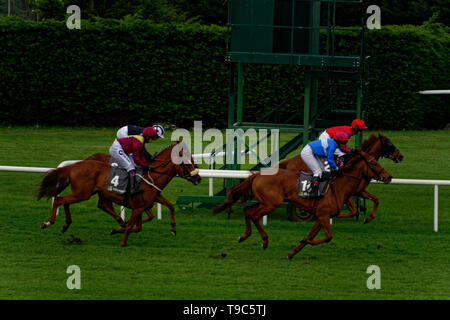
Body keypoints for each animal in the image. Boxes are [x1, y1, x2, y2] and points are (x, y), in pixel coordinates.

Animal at [37, 141, 201, 248]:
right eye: (187, 163)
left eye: (193, 161)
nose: (198, 178)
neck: (151, 176)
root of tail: (74, 165)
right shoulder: (139, 207)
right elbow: (133, 226)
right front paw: (123, 242)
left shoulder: (150, 201)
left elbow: (168, 208)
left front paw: (173, 228)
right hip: (83, 193)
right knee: (60, 200)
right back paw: (48, 222)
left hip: (85, 192)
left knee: (71, 202)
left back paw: (66, 225)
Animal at [213, 151, 392, 260]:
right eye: (374, 163)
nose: (388, 177)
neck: (340, 186)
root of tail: (258, 174)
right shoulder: (323, 215)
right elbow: (328, 237)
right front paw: (303, 239)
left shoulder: (320, 217)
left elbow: (315, 235)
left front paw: (292, 253)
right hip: (272, 203)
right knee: (254, 215)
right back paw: (263, 241)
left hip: (265, 201)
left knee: (247, 210)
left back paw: (244, 236)